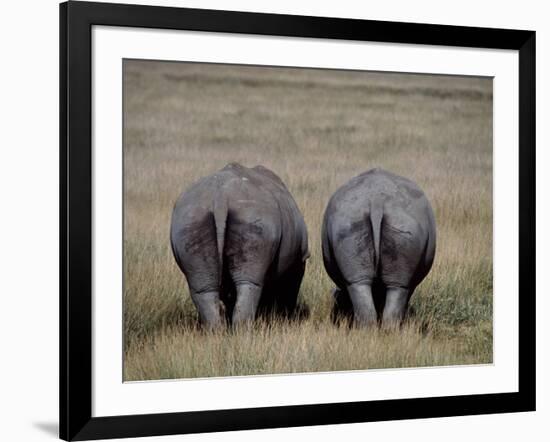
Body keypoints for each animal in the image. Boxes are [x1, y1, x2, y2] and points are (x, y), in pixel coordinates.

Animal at [170, 163, 310, 328]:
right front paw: (286, 318)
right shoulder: (301, 258)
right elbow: (290, 289)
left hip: (189, 220)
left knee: (203, 288)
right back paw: (244, 331)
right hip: (253, 215)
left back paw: (218, 331)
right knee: (249, 283)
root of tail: (221, 198)